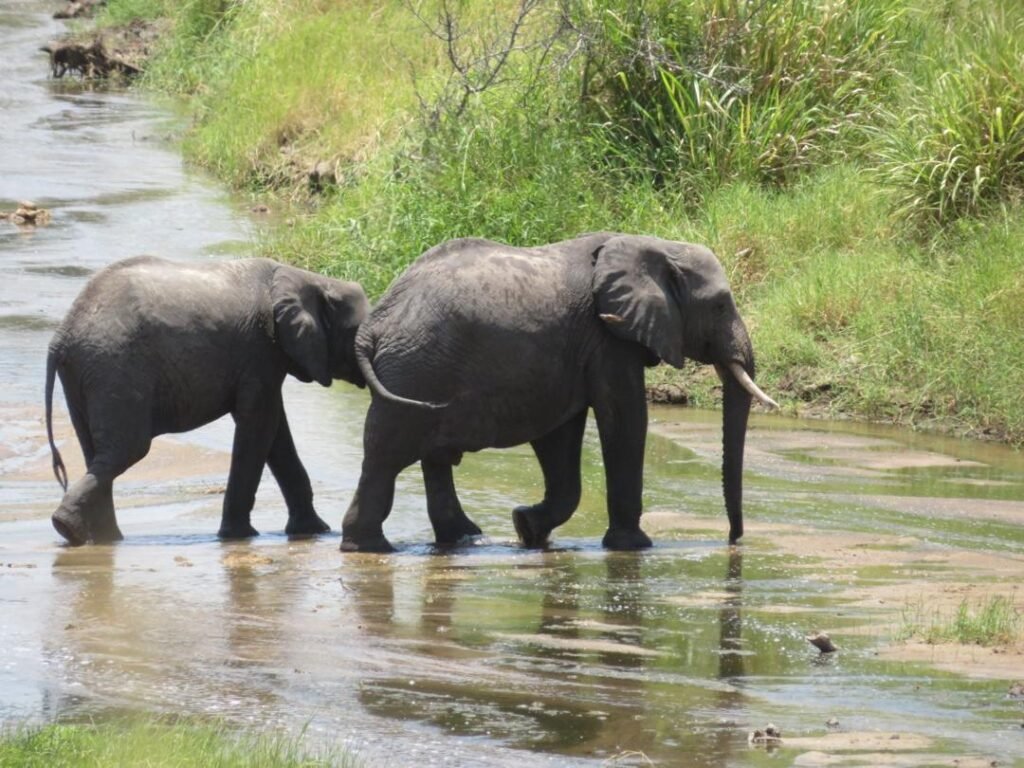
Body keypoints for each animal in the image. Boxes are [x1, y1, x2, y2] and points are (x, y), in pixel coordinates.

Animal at [45, 255, 370, 546]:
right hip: (115, 368)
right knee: (127, 450)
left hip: (87, 375)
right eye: (357, 335)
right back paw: (71, 529)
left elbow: (275, 430)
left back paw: (101, 538)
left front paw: (314, 531)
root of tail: (59, 338)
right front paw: (240, 536)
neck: (310, 278)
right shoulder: (260, 351)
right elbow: (261, 425)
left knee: (98, 453)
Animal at [341, 232, 777, 553]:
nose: (734, 541)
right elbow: (624, 418)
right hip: (414, 372)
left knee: (429, 457)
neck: (653, 243)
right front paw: (634, 546)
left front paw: (527, 528)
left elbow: (561, 434)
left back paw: (465, 539)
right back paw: (371, 548)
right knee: (385, 455)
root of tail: (372, 326)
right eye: (720, 306)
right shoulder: (608, 338)